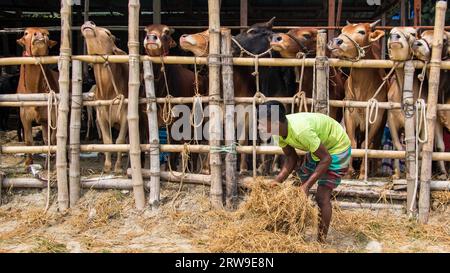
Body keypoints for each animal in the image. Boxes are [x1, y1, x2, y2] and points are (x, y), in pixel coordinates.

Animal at [16, 27, 59, 165]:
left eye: (48, 33)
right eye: (25, 33)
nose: (40, 34)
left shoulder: (53, 114)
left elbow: (53, 139)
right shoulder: (24, 115)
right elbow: (28, 140)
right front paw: (28, 162)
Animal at [81, 22, 130, 173]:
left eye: (108, 33)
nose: (89, 23)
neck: (107, 90)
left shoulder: (125, 115)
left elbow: (119, 141)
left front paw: (118, 167)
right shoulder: (101, 115)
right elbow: (107, 141)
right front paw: (107, 165)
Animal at [179, 28, 256, 173]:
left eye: (208, 33)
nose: (183, 36)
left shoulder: (247, 114)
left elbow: (242, 141)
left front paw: (243, 168)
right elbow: (213, 138)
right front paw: (206, 168)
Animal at [326, 20, 386, 178]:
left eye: (361, 32)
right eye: (343, 30)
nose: (336, 41)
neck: (362, 88)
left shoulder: (376, 118)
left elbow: (367, 144)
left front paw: (363, 173)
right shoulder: (349, 114)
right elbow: (352, 142)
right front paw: (349, 172)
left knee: (376, 143)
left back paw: (374, 170)